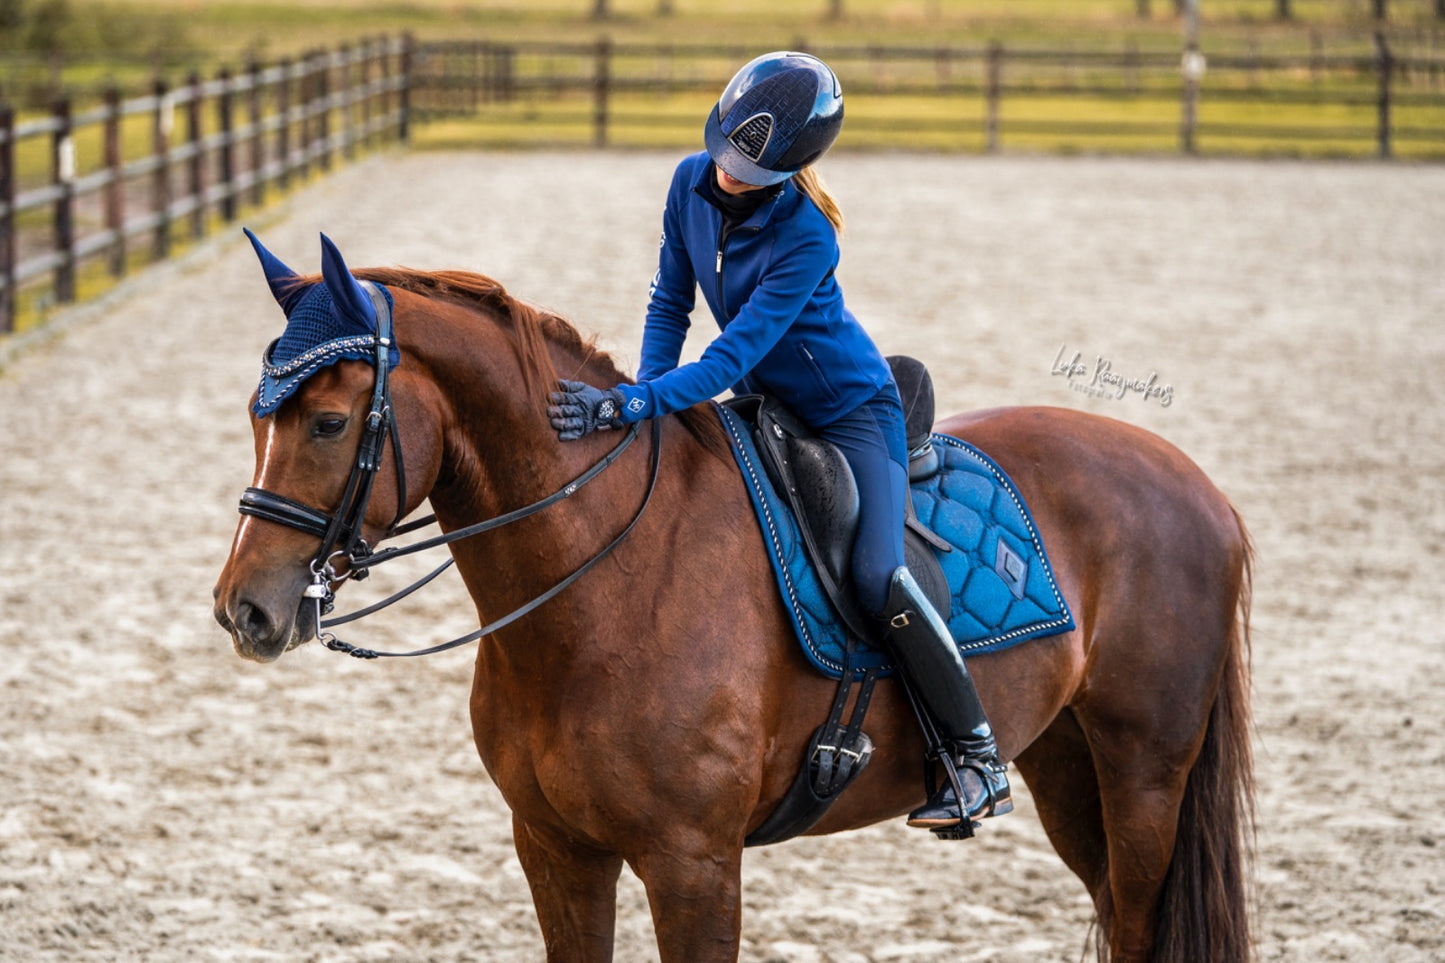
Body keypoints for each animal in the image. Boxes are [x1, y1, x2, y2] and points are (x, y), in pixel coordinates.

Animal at [210, 244, 1254, 954]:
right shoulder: (554, 848)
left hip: (1143, 771)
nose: (244, 609)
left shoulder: (694, 863)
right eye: (257, 417)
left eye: (329, 421)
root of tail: (1191, 478)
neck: (600, 595)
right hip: (1067, 764)